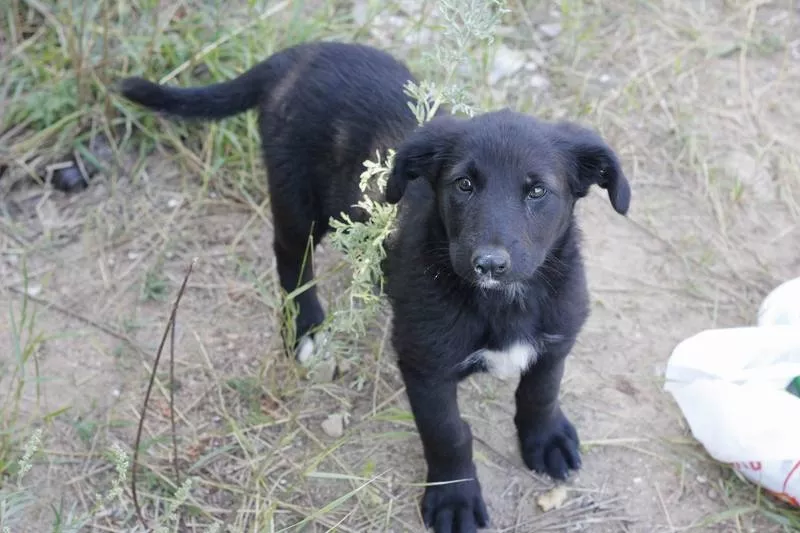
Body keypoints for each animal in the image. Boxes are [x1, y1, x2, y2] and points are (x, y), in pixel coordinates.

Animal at [119, 39, 632, 528]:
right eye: (463, 185)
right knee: (291, 260)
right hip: (297, 201)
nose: (488, 263)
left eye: (538, 190)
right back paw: (306, 330)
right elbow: (448, 434)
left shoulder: (557, 338)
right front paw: (454, 499)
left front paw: (545, 441)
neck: (504, 303)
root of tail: (300, 54)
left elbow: (540, 392)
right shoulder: (423, 365)